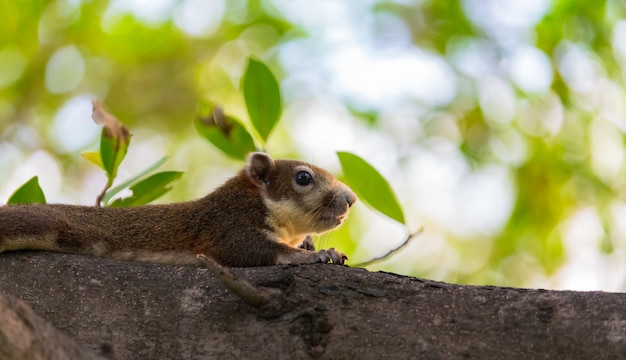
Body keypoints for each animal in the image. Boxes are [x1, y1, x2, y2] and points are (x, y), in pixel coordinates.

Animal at [0, 152, 356, 268]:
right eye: (303, 177)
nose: (351, 199)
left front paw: (313, 246)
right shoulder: (225, 226)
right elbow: (255, 250)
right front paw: (315, 255)